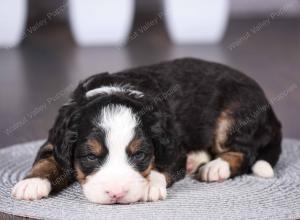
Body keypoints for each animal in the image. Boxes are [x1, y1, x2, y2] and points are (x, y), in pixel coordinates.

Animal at [11, 57, 282, 204]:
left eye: (139, 155)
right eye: (90, 156)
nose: (117, 193)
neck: (117, 89)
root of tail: (269, 107)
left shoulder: (174, 146)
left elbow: (163, 166)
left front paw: (150, 184)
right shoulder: (56, 137)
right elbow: (48, 159)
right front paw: (32, 183)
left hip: (233, 116)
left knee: (245, 152)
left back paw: (215, 167)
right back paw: (198, 159)